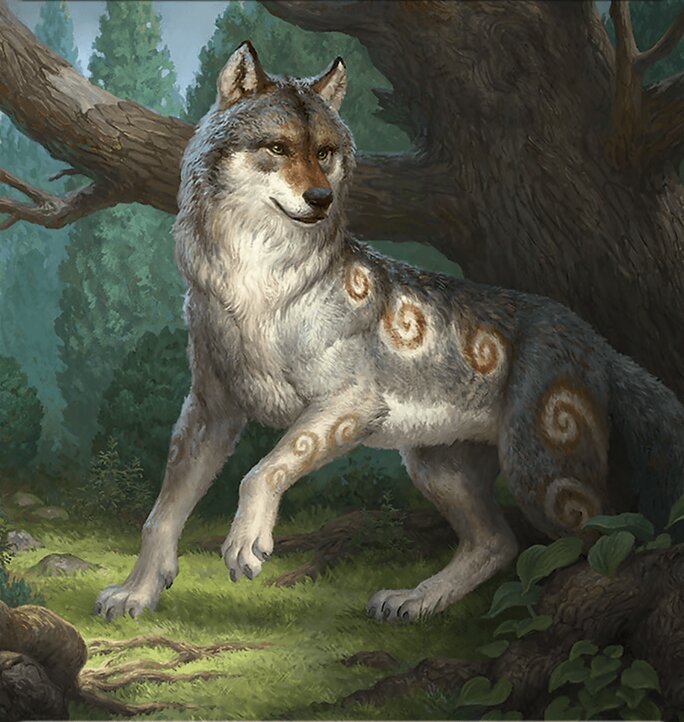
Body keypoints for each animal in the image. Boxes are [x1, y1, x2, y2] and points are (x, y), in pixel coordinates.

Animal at [95, 42, 684, 621]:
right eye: (279, 148)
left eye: (325, 152)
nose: (321, 199)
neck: (257, 286)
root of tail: (595, 340)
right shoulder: (210, 412)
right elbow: (161, 515)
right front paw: (137, 593)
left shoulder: (349, 404)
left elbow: (261, 470)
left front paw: (246, 543)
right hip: (435, 468)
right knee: (497, 543)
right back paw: (416, 601)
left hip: (541, 477)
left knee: (613, 533)